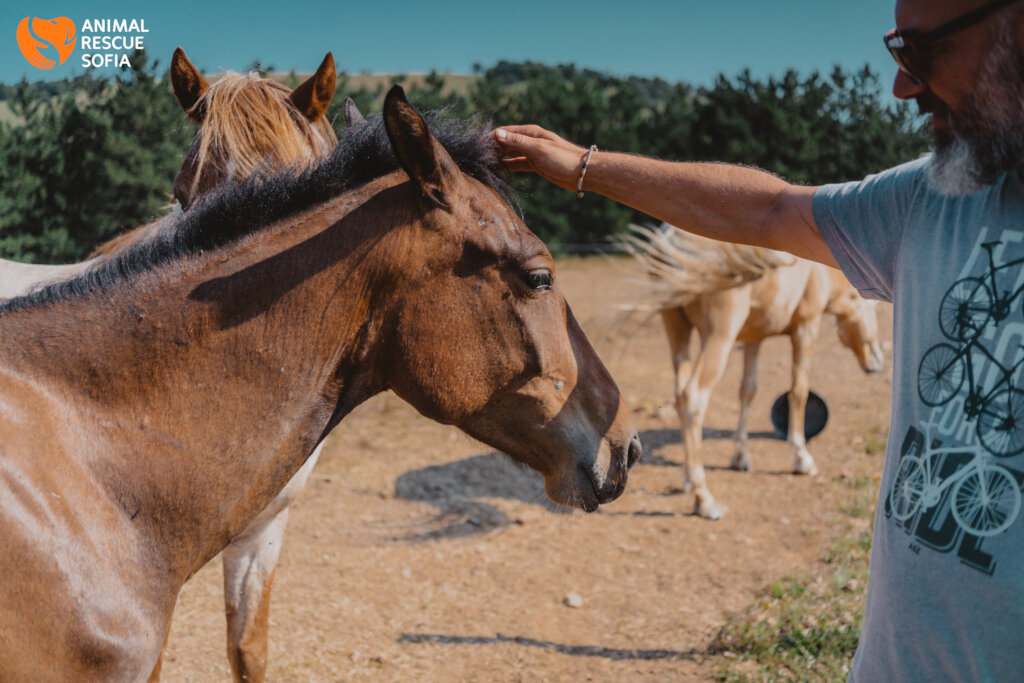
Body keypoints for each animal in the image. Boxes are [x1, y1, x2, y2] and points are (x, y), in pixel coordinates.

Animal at [620, 223, 883, 519]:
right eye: (874, 307)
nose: (878, 361)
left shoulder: (754, 339)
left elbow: (748, 391)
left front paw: (740, 457)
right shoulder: (807, 327)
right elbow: (799, 391)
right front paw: (801, 458)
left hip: (677, 331)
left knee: (680, 395)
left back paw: (688, 478)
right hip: (718, 337)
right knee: (693, 398)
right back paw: (703, 497)